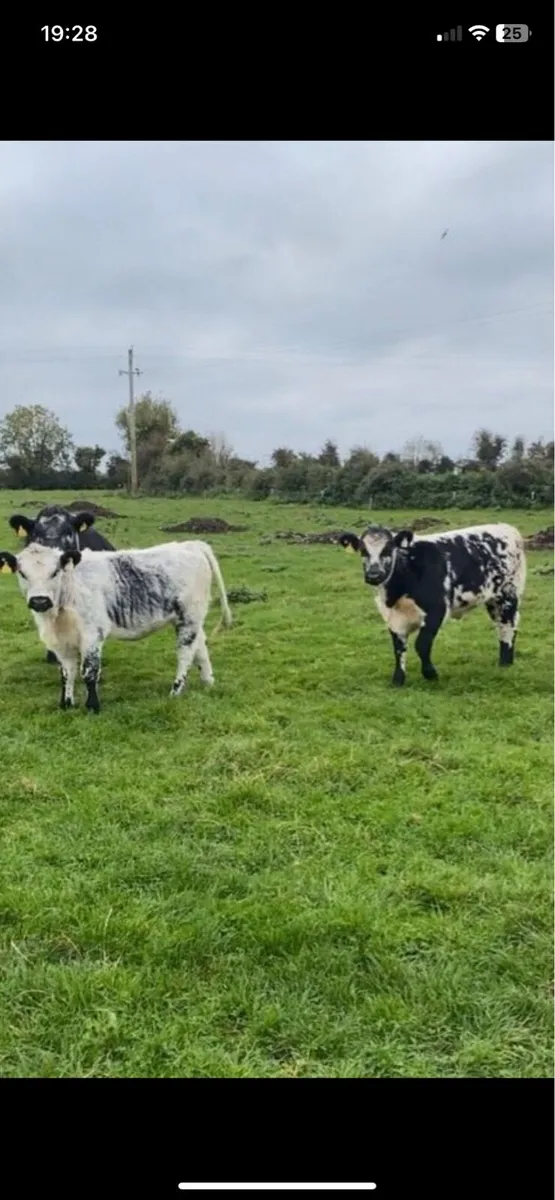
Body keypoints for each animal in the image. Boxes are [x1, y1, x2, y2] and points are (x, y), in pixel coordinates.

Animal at [0, 539, 232, 713]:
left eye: (55, 572)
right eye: (22, 573)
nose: (39, 601)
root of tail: (191, 544)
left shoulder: (92, 634)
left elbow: (89, 671)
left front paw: (93, 706)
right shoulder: (61, 641)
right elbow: (66, 672)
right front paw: (66, 704)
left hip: (188, 618)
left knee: (185, 653)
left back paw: (175, 691)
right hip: (192, 620)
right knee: (200, 646)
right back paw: (208, 681)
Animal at [338, 522, 527, 686]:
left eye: (389, 548)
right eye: (363, 550)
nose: (374, 575)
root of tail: (505, 527)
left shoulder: (437, 610)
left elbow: (421, 644)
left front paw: (430, 674)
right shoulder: (393, 618)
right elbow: (398, 648)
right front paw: (398, 679)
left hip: (508, 595)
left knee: (508, 625)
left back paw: (505, 663)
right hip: (493, 600)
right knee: (503, 626)